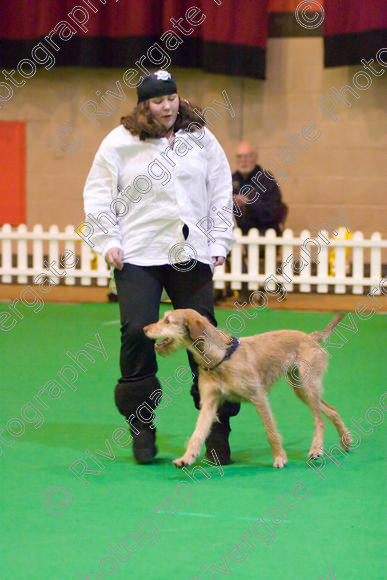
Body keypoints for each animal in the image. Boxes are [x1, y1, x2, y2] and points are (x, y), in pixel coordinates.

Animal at [144, 310, 354, 468]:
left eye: (168, 320)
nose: (144, 328)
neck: (221, 356)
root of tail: (310, 337)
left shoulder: (258, 397)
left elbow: (270, 431)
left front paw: (280, 457)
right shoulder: (209, 403)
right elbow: (198, 433)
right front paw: (186, 458)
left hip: (307, 386)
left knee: (319, 420)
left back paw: (316, 449)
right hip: (300, 389)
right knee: (331, 410)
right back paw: (345, 440)